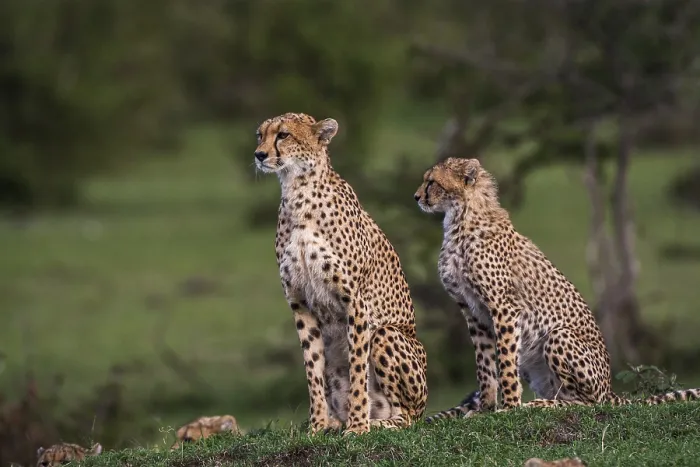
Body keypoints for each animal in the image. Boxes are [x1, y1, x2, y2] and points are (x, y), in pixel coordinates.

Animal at [254, 112, 428, 436]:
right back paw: (338, 421)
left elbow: (358, 368)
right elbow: (312, 370)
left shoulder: (356, 303)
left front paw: (358, 427)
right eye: (260, 135)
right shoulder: (300, 303)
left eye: (283, 135)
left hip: (388, 335)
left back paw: (375, 422)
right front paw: (317, 426)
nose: (259, 154)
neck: (298, 192)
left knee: (408, 416)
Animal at [413, 157, 700, 422]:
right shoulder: (472, 311)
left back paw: (540, 405)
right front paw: (485, 408)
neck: (460, 218)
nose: (416, 197)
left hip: (558, 336)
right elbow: (485, 366)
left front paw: (509, 408)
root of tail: (609, 389)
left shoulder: (504, 308)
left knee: (586, 403)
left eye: (432, 182)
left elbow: (505, 364)